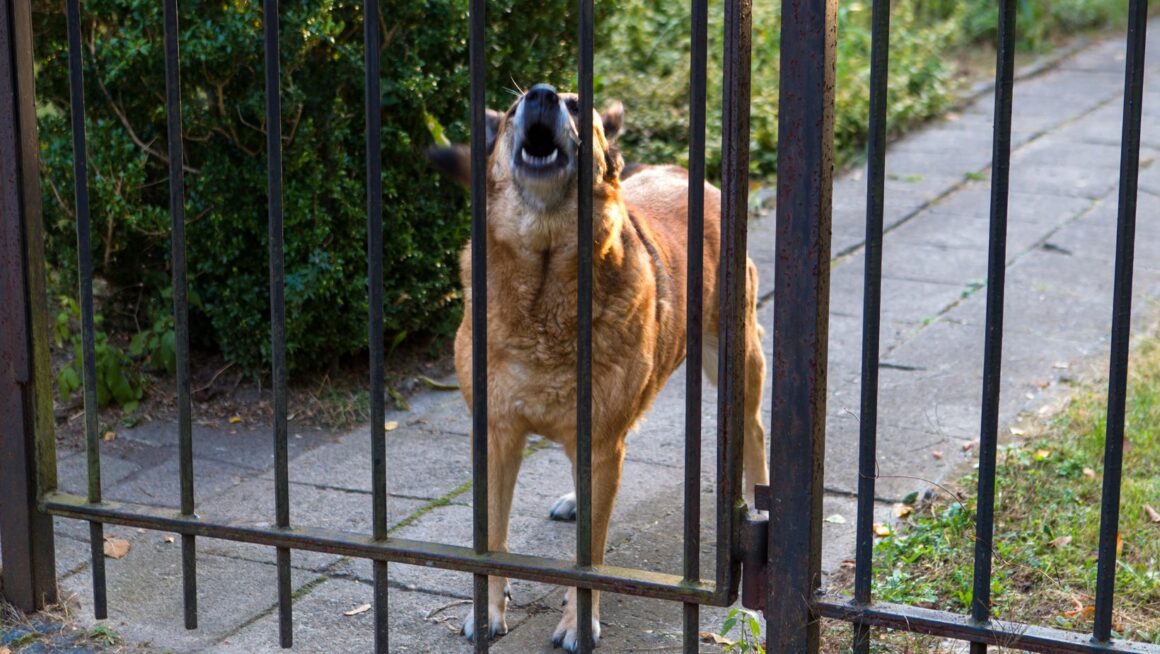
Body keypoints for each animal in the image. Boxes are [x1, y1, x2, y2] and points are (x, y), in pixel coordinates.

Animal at [426, 84, 770, 649]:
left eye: (574, 103)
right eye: (516, 107)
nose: (542, 95)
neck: (543, 291)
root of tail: (683, 172)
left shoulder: (601, 440)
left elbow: (589, 556)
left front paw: (577, 622)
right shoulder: (497, 434)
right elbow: (492, 538)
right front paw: (489, 609)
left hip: (733, 359)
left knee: (755, 432)